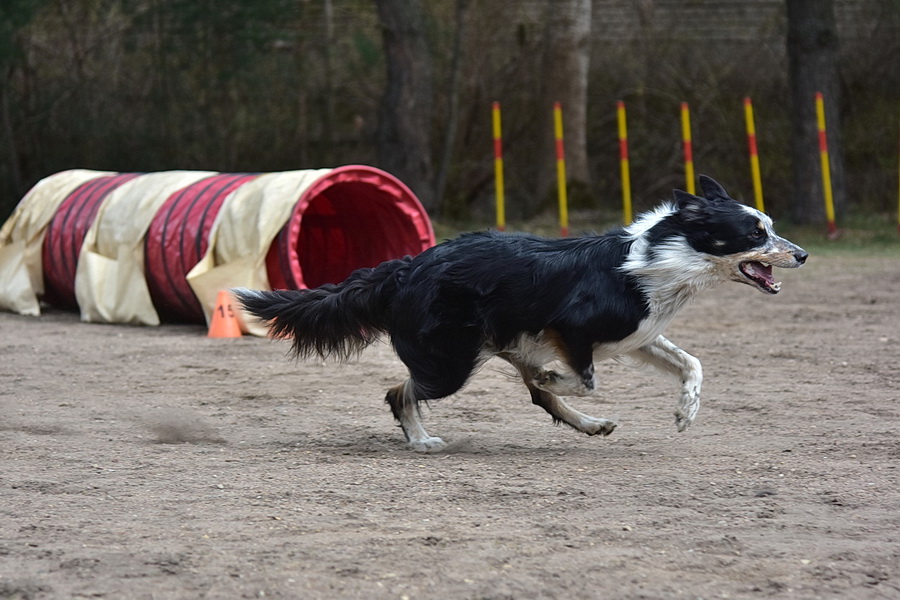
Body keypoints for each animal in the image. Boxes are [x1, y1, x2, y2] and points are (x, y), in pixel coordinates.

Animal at [234, 175, 807, 452]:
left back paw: (591, 426)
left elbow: (693, 364)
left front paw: (686, 412)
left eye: (770, 227)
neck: (666, 256)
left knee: (535, 395)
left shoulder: (638, 335)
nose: (801, 255)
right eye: (755, 232)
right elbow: (582, 378)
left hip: (492, 346)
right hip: (451, 361)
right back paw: (420, 440)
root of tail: (405, 267)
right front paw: (561, 377)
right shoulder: (572, 330)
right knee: (400, 392)